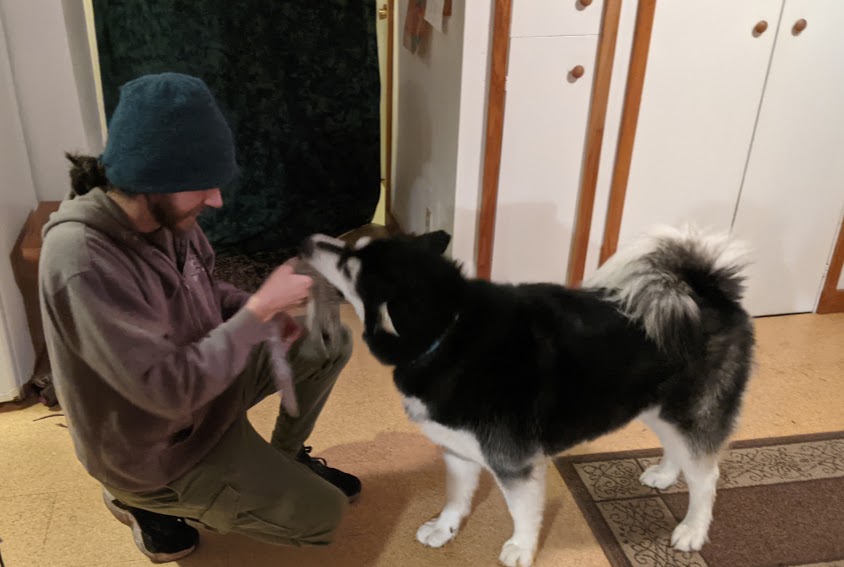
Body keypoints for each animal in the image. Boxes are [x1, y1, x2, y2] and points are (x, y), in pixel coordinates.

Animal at [301, 226, 754, 567]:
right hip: (657, 407)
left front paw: (521, 548)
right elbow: (455, 497)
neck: (449, 331)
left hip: (691, 411)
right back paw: (664, 474)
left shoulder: (512, 462)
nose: (308, 240)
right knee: (679, 449)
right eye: (352, 250)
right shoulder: (460, 451)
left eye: (349, 264)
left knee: (706, 478)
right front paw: (445, 528)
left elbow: (522, 512)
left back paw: (693, 529)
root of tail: (704, 289)